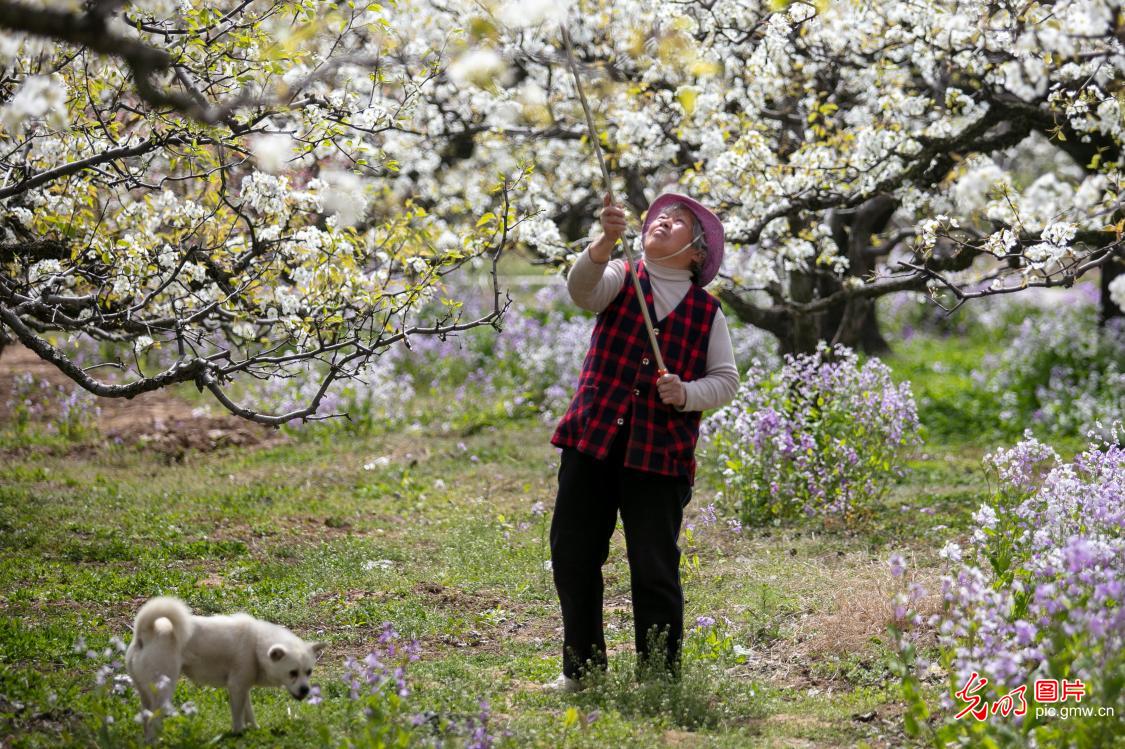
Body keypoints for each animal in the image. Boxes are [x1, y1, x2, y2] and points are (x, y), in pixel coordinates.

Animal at [128, 598, 328, 737]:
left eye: (308, 672)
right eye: (292, 673)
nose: (305, 690)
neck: (256, 645)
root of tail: (144, 633)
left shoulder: (243, 688)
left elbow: (249, 713)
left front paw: (255, 730)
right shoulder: (236, 687)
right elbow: (238, 717)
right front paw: (239, 734)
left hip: (146, 694)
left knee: (146, 719)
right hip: (164, 690)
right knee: (154, 721)